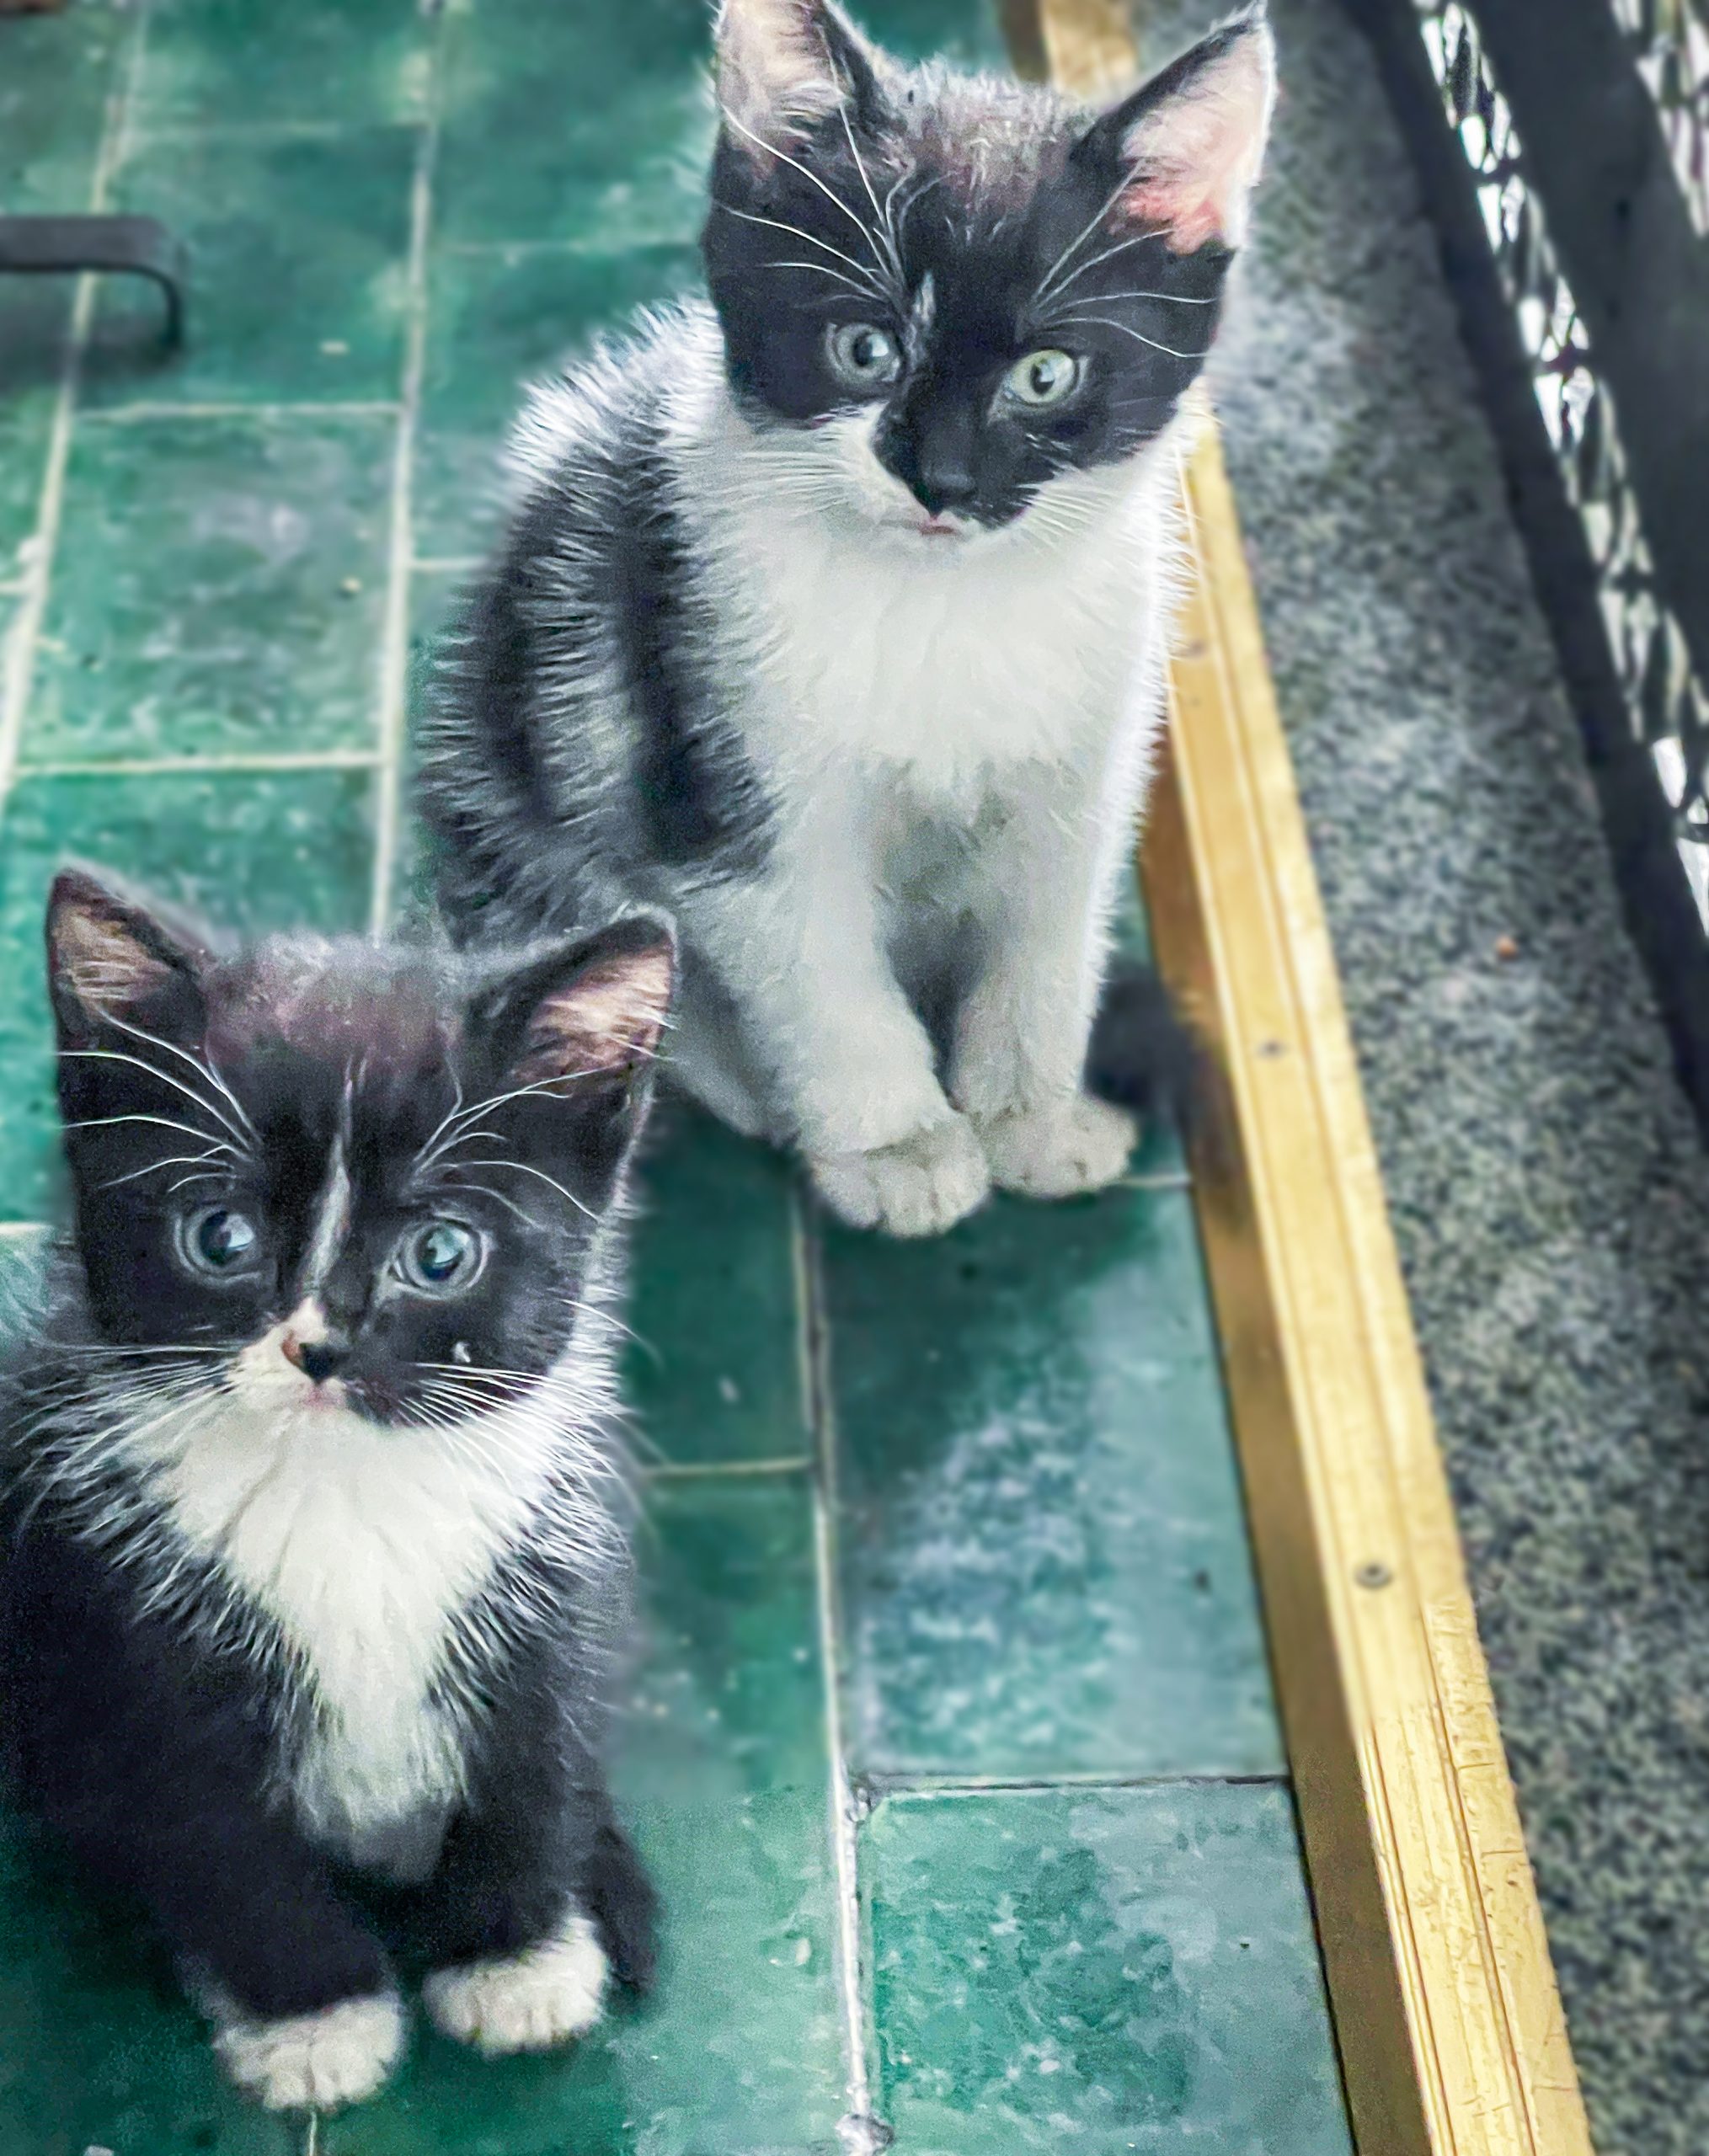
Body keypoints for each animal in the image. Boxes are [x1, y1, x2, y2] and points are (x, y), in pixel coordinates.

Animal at [0, 867, 672, 2112]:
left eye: (441, 1255)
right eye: (218, 1236)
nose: (318, 1350)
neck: (348, 1488)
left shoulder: (549, 1590)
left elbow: (533, 1763)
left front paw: (514, 1957)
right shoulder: (134, 1641)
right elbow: (220, 1837)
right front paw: (310, 2017)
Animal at [422, 0, 1275, 1241]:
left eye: (1047, 374)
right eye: (864, 348)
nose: (941, 479)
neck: (945, 609)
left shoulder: (1089, 755)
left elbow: (1048, 935)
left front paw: (1031, 1116)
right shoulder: (718, 772)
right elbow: (821, 977)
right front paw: (898, 1145)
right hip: (519, 788)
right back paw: (729, 1073)